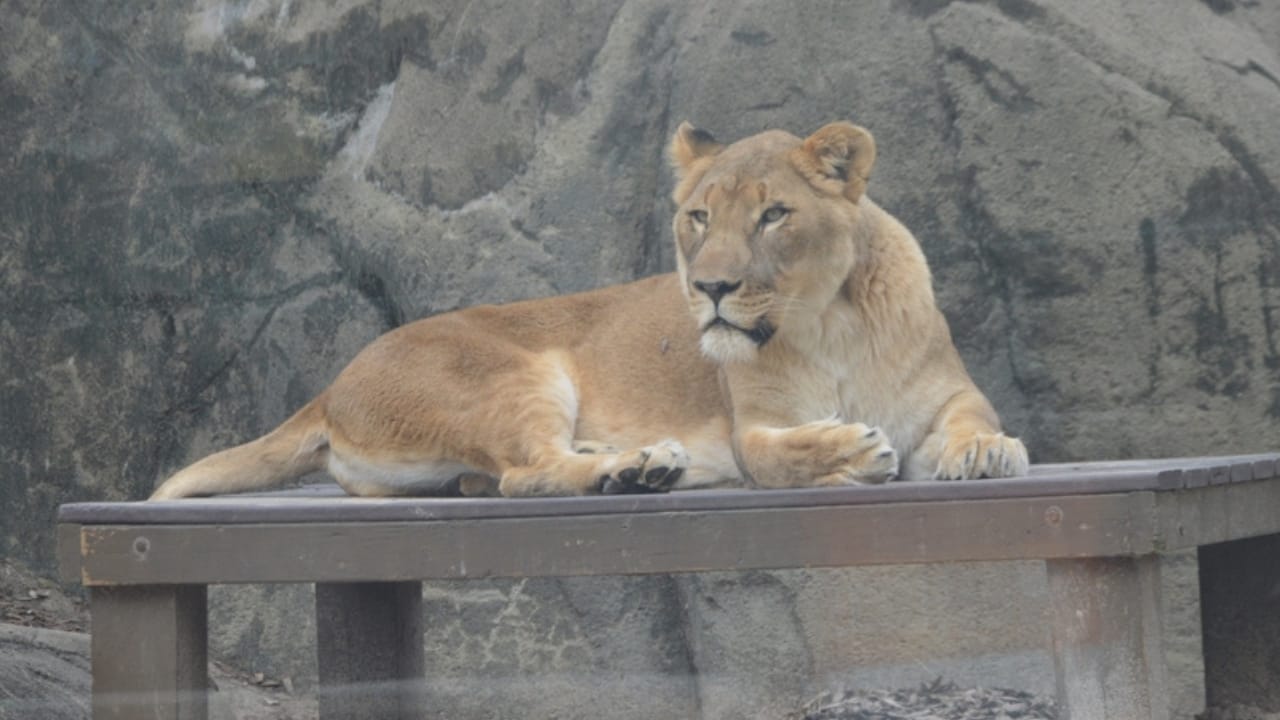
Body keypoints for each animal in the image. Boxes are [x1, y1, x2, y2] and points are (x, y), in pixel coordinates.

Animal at [150, 121, 1028, 500]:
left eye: (774, 215)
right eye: (698, 217)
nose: (710, 287)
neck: (827, 321)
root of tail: (334, 383)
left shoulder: (949, 393)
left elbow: (973, 418)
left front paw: (986, 452)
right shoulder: (753, 428)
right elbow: (783, 455)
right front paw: (851, 449)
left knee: (493, 481)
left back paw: (645, 463)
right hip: (511, 377)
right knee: (525, 474)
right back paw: (629, 467)